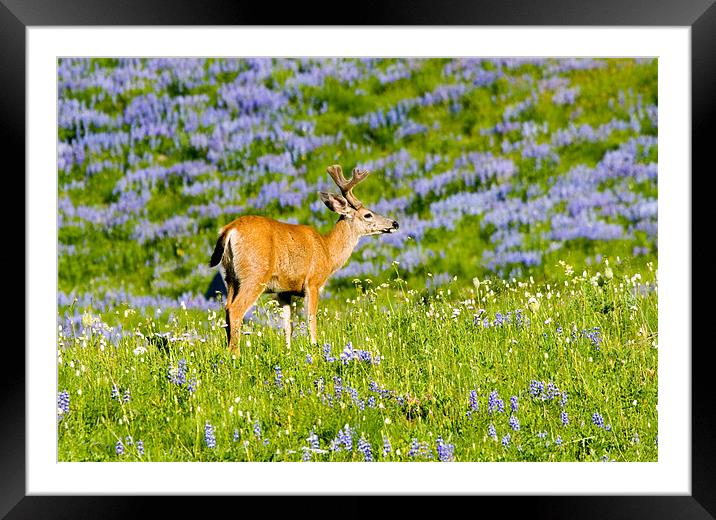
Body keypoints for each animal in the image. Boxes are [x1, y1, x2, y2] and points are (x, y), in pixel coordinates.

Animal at [207, 165, 400, 356]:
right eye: (368, 215)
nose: (395, 223)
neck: (328, 252)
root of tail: (230, 229)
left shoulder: (284, 291)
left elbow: (288, 326)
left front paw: (288, 352)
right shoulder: (313, 282)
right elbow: (311, 320)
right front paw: (315, 349)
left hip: (230, 277)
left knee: (227, 308)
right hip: (254, 273)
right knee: (235, 309)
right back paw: (235, 354)